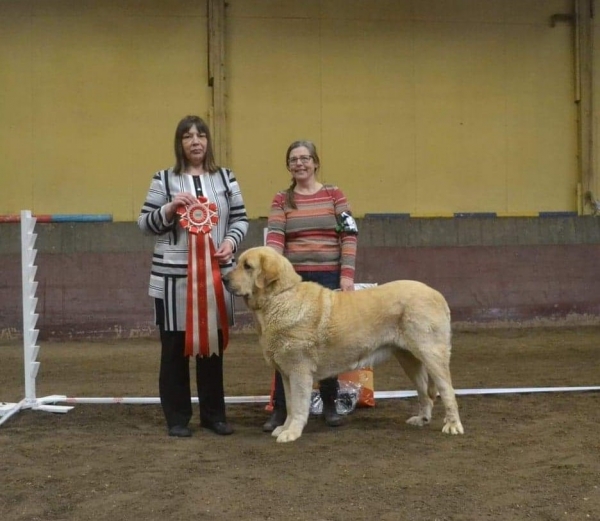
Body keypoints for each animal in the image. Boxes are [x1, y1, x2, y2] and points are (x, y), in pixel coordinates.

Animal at [225, 246, 464, 440]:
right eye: (238, 262)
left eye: (247, 266)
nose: (224, 279)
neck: (280, 297)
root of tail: (438, 294)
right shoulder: (286, 373)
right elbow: (291, 405)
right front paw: (284, 428)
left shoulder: (299, 371)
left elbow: (299, 405)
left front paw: (291, 433)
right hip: (409, 359)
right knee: (424, 392)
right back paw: (421, 419)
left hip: (431, 354)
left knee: (447, 390)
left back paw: (452, 426)